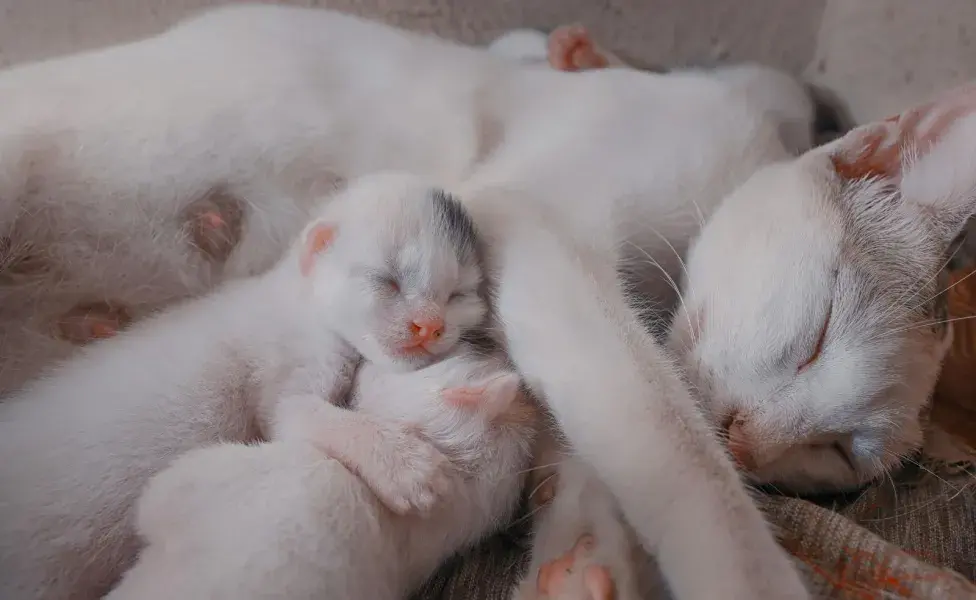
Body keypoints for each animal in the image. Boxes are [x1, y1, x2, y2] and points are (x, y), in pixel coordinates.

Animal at [0, 170, 486, 600]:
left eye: (458, 295)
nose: (429, 326)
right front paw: (410, 467)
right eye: (387, 280)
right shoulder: (295, 359)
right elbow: (300, 415)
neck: (299, 299)